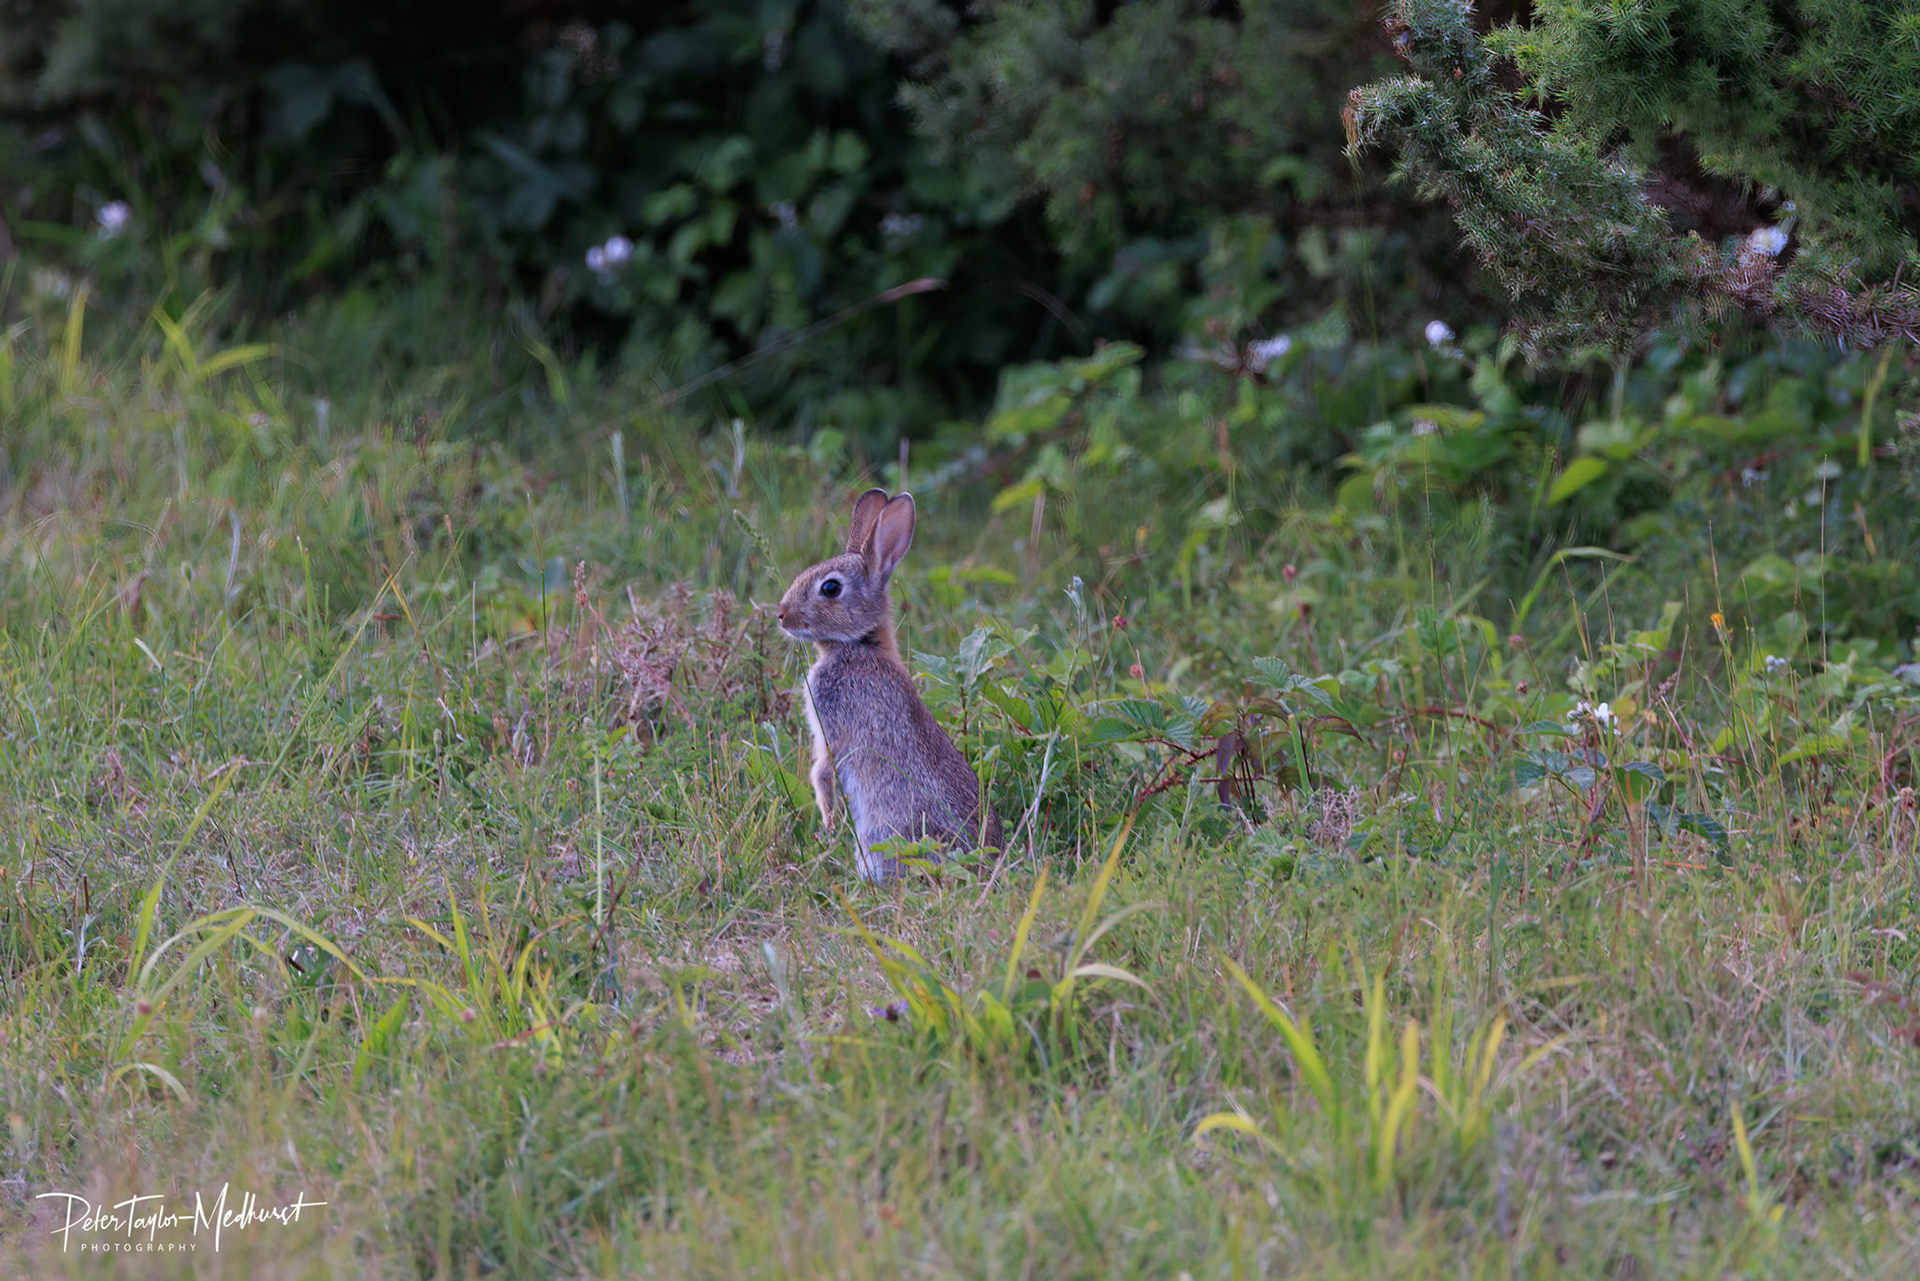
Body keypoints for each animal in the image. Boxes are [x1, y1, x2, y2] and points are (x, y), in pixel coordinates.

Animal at [777, 488, 1002, 881]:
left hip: (880, 831)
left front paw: (828, 818)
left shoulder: (835, 728)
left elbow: (822, 770)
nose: (781, 614)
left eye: (830, 588)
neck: (859, 644)